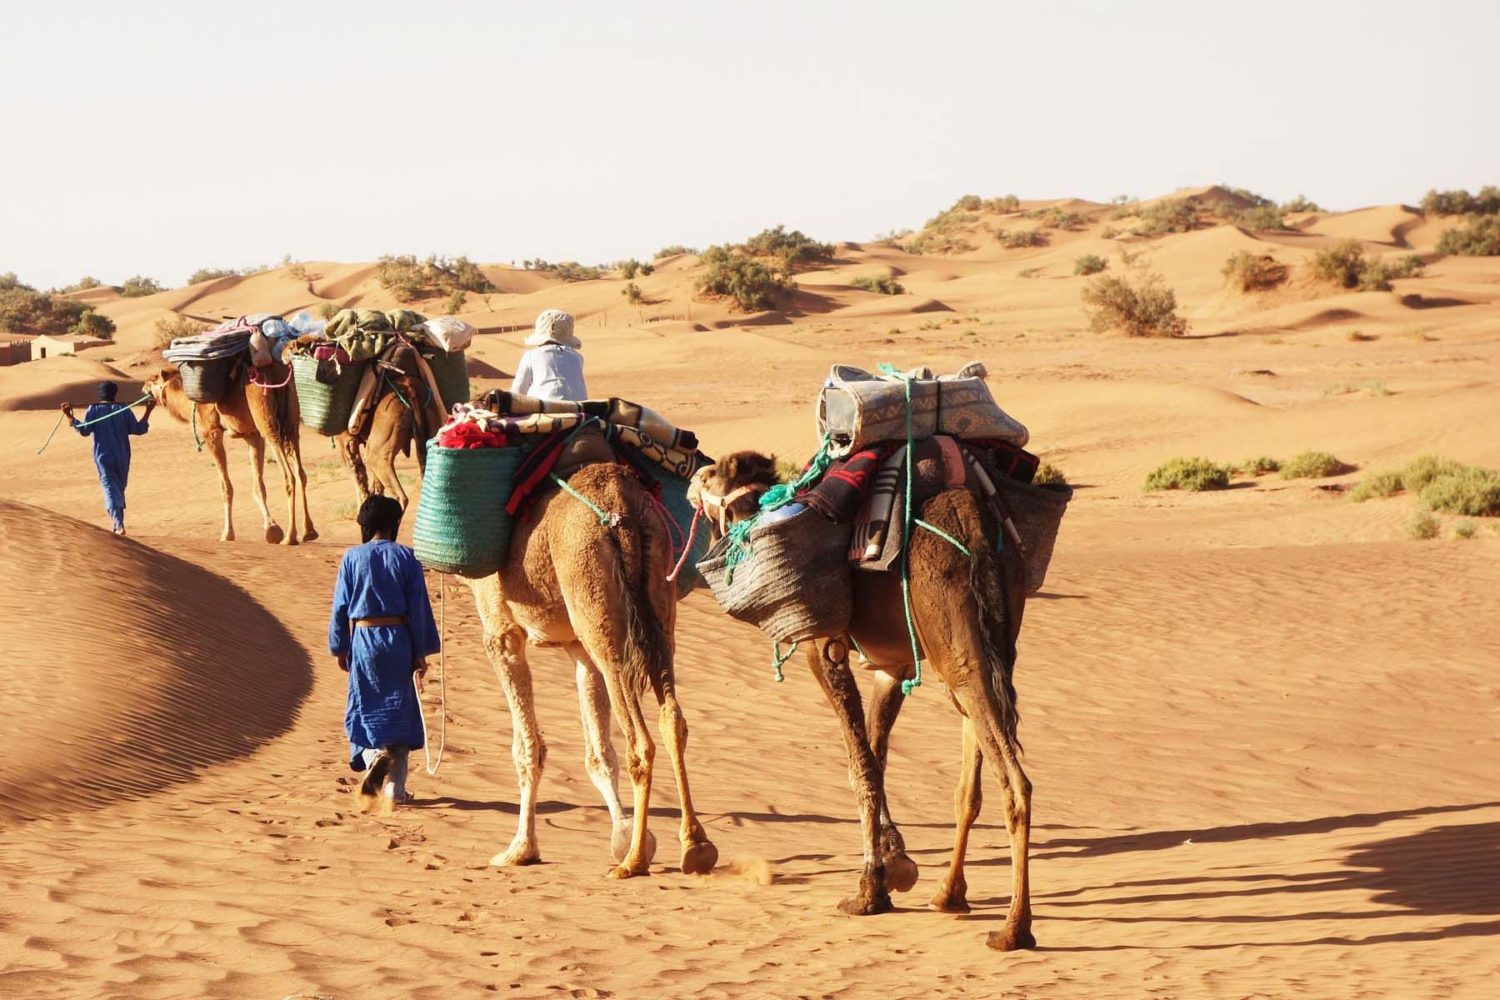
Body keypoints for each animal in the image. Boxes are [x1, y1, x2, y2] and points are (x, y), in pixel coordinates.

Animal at [147, 358, 319, 548]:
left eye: (153, 380)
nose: (143, 387)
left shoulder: (211, 432)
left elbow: (226, 487)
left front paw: (227, 534)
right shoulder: (252, 436)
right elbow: (258, 485)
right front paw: (271, 528)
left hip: (265, 416)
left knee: (289, 475)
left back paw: (290, 536)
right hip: (292, 418)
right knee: (301, 472)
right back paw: (309, 531)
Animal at [465, 461, 717, 875]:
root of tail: (620, 504)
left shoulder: (501, 632)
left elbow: (527, 749)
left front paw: (520, 849)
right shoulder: (576, 647)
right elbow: (598, 753)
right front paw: (624, 831)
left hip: (594, 599)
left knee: (639, 741)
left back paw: (633, 862)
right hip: (656, 599)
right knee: (672, 719)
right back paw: (696, 846)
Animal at [687, 449, 1032, 953]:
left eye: (712, 474)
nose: (692, 477)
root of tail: (974, 525)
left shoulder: (824, 646)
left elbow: (860, 764)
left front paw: (869, 890)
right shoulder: (892, 665)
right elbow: (876, 753)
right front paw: (897, 862)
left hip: (957, 646)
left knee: (1015, 783)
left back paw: (1013, 929)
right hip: (989, 647)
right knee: (972, 781)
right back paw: (950, 894)